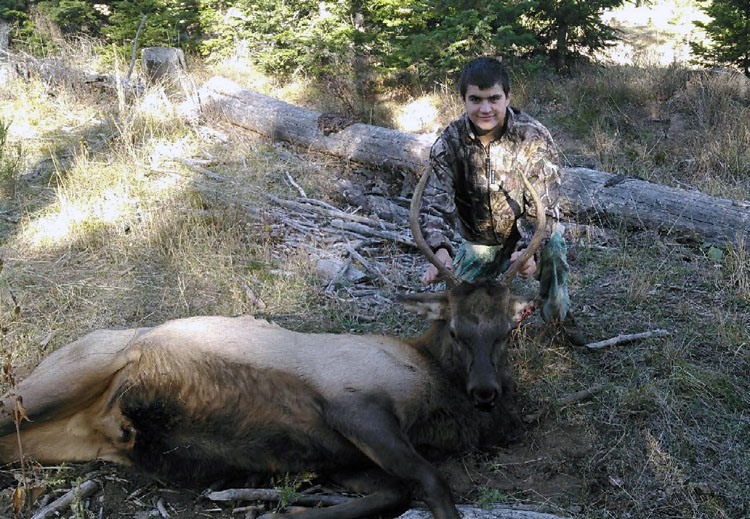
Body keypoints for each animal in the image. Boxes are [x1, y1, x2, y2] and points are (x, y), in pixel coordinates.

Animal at [0, 168, 546, 519]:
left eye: (506, 330)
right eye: (456, 329)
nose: (486, 392)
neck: (435, 399)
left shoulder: (343, 457)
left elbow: (397, 493)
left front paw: (287, 513)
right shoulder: (353, 404)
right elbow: (432, 482)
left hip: (59, 439)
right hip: (60, 379)